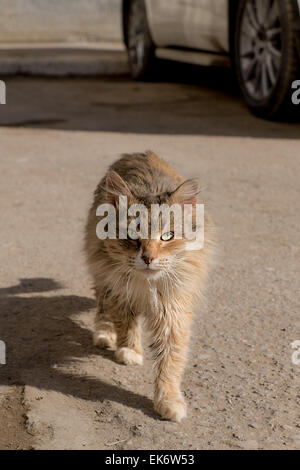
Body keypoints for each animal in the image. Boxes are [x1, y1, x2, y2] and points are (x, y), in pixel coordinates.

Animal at [83, 151, 212, 422]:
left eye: (167, 236)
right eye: (132, 236)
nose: (148, 258)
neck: (147, 285)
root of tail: (141, 153)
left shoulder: (173, 309)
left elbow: (170, 360)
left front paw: (169, 401)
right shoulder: (121, 291)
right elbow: (126, 323)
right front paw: (129, 351)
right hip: (101, 273)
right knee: (102, 305)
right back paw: (104, 334)